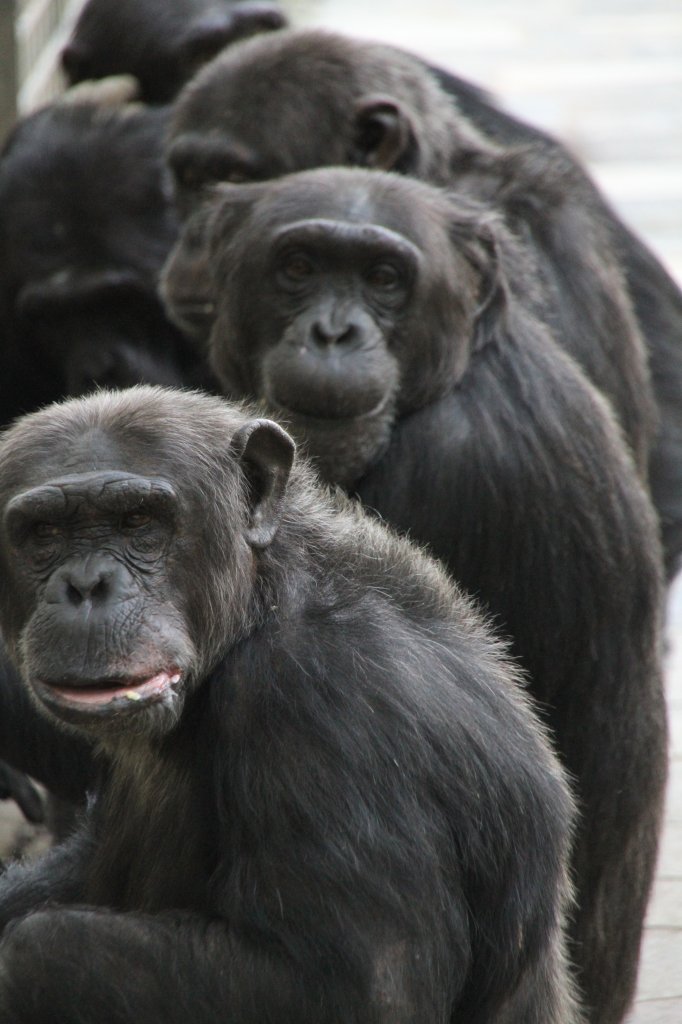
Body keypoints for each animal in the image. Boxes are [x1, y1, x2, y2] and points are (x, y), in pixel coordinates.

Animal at [0, 385, 577, 1024]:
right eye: (44, 533)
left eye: (138, 522)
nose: (86, 586)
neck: (262, 599)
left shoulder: (325, 700)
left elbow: (345, 987)